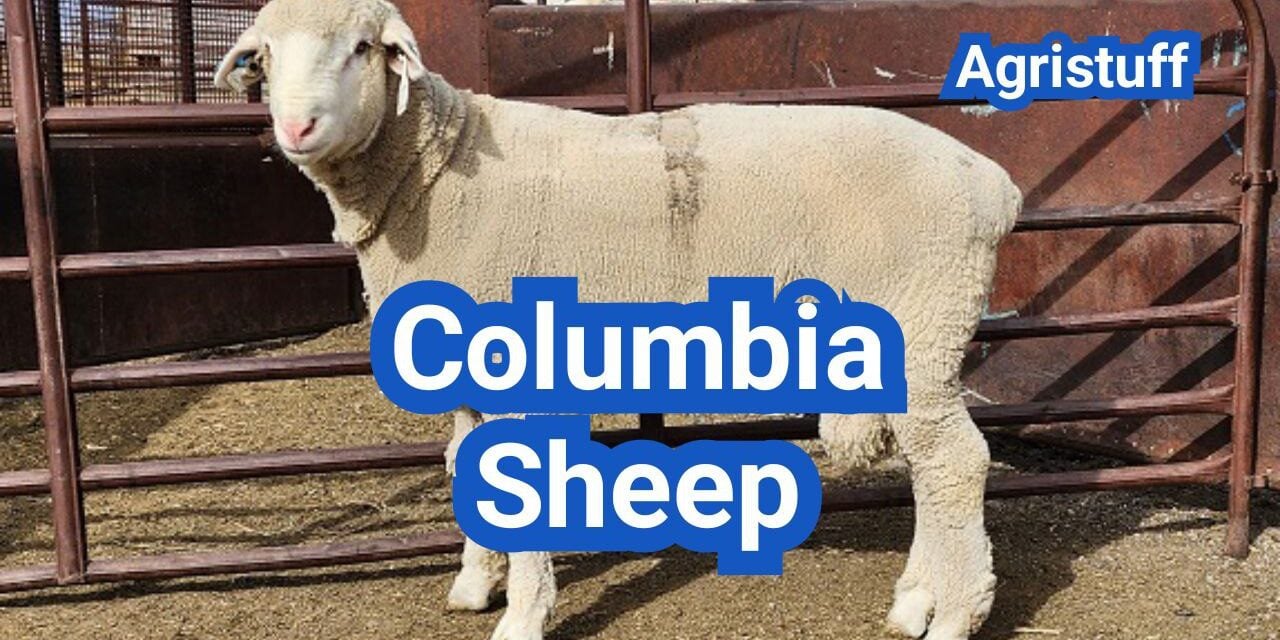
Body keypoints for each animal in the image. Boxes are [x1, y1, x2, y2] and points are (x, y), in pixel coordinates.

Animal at [214, 1, 1021, 638]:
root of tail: (992, 182)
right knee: (929, 466)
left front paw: (523, 617)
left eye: (360, 47)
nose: (297, 126)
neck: (431, 176)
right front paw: (477, 585)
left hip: (923, 321)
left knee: (953, 463)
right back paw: (915, 601)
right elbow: (466, 463)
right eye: (267, 54)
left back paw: (954, 615)